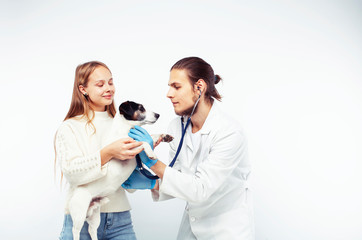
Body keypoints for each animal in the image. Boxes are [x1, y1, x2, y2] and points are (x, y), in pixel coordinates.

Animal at [69, 100, 174, 239]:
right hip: (79, 214)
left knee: (92, 230)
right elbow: (142, 143)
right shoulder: (125, 149)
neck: (125, 129)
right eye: (141, 108)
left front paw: (164, 136)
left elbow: (149, 137)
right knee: (75, 230)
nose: (158, 115)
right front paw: (151, 153)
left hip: (94, 215)